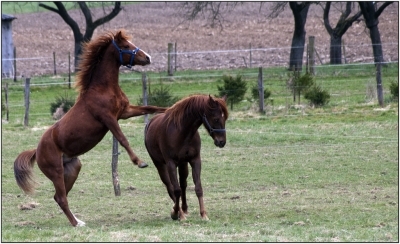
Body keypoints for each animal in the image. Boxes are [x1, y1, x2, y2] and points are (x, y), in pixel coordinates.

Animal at [12, 30, 166, 227]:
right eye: (125, 46)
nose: (148, 57)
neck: (103, 89)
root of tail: (36, 151)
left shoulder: (125, 112)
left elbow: (152, 108)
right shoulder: (109, 119)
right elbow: (123, 139)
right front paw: (140, 162)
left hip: (72, 169)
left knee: (59, 197)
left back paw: (78, 220)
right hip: (56, 172)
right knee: (61, 198)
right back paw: (77, 224)